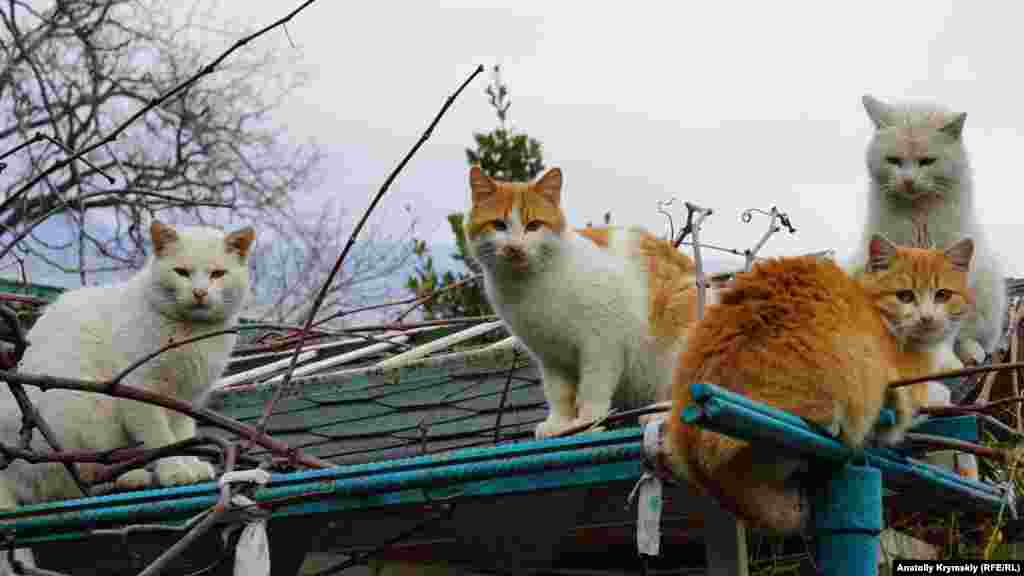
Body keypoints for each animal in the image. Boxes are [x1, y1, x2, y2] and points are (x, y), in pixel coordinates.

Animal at [0, 219, 253, 569]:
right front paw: (175, 470)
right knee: (72, 485)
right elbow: (161, 439)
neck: (192, 336)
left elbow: (183, 436)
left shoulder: (184, 400)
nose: (200, 292)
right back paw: (129, 476)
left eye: (217, 274)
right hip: (84, 413)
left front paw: (190, 464)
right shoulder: (142, 391)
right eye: (182, 272)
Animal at [464, 165, 704, 434]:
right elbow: (557, 393)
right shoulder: (550, 357)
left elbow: (592, 387)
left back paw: (658, 413)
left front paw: (588, 421)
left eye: (534, 225)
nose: (514, 248)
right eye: (498, 225)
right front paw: (559, 424)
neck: (528, 286)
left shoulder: (601, 344)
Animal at [663, 233, 974, 532]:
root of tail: (690, 444)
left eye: (943, 295)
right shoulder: (908, 391)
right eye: (905, 296)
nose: (927, 318)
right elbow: (930, 397)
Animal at [847, 91, 1007, 364]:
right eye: (893, 161)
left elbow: (949, 325)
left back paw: (971, 352)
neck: (918, 211)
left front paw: (945, 358)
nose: (908, 181)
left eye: (927, 161)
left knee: (972, 337)